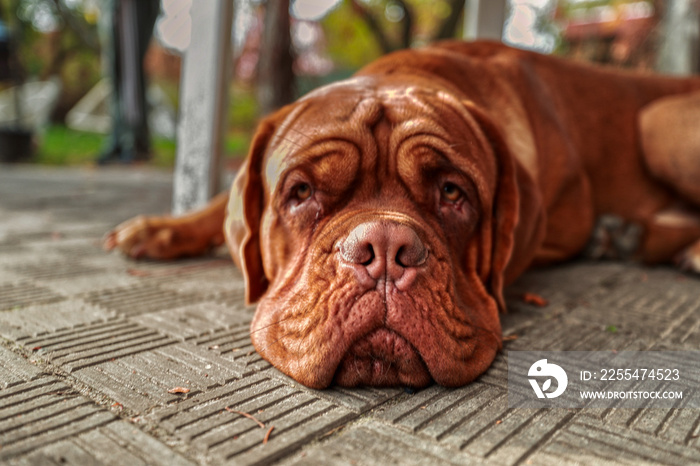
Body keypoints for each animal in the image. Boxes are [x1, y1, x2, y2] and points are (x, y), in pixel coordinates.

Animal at [104, 41, 700, 390]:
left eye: (453, 192)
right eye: (300, 192)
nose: (386, 249)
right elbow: (223, 205)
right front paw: (163, 227)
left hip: (661, 120)